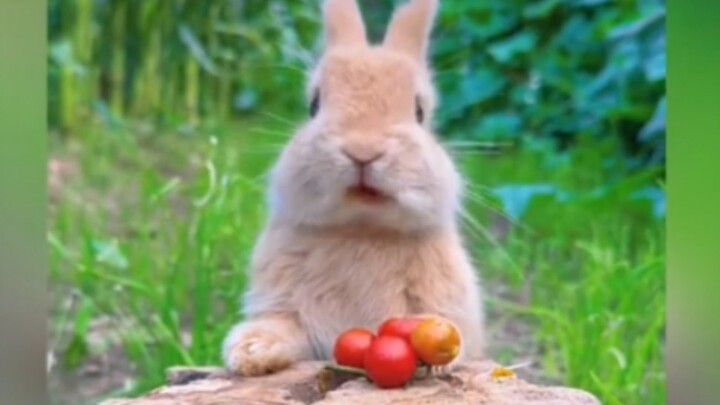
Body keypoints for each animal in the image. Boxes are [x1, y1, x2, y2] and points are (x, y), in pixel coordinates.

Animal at [222, 0, 485, 377]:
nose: (363, 151)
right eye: (314, 105)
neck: (362, 227)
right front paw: (251, 353)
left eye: (419, 111)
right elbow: (282, 326)